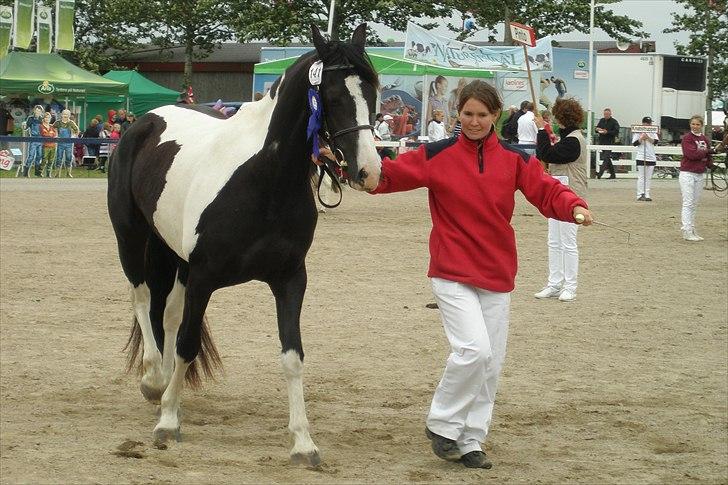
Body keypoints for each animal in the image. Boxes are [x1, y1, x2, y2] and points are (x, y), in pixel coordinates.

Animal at [109, 24, 382, 464]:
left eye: (373, 91)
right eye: (334, 95)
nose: (369, 171)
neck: (263, 179)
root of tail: (146, 120)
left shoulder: (290, 279)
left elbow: (292, 356)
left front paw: (303, 442)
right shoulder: (204, 276)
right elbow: (186, 343)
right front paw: (168, 423)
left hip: (176, 258)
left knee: (168, 312)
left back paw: (166, 385)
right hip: (132, 238)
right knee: (143, 297)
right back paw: (154, 380)